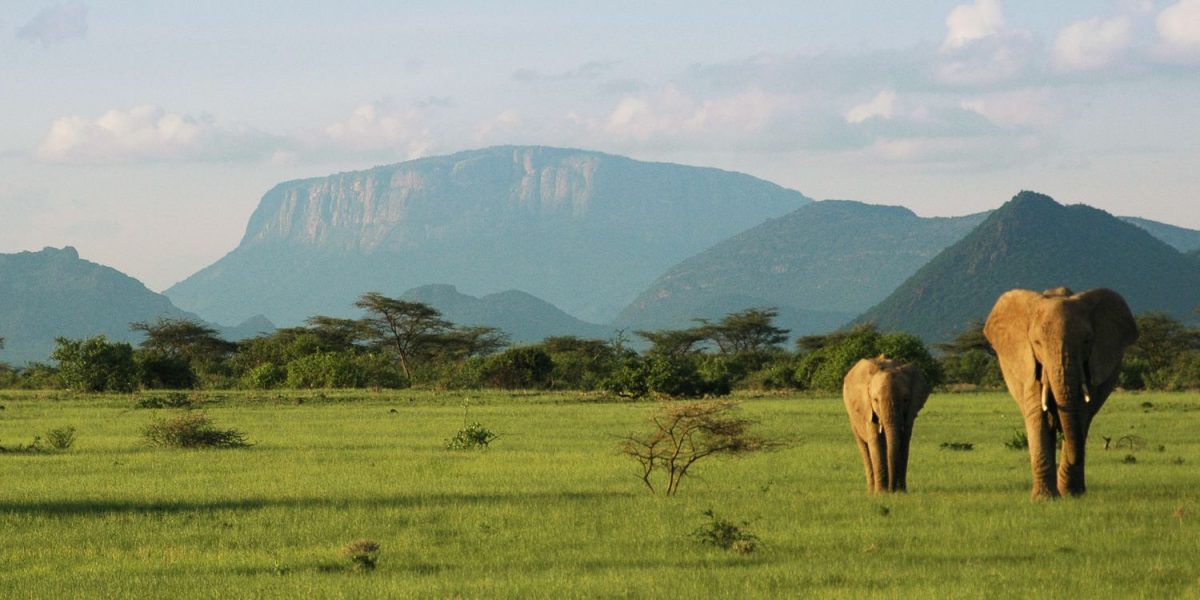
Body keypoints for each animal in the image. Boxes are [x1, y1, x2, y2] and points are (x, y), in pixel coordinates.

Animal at [840, 355, 931, 492]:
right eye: (875, 400)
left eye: (905, 400)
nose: (892, 489)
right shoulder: (868, 410)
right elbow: (876, 441)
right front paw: (882, 493)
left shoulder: (910, 412)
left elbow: (904, 442)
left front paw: (900, 492)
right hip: (853, 419)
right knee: (864, 448)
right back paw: (871, 491)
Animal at [979, 285, 1137, 496]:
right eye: (1037, 342)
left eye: (1087, 341)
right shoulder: (1031, 367)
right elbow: (1038, 415)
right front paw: (1044, 498)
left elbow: (1080, 414)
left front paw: (1071, 495)